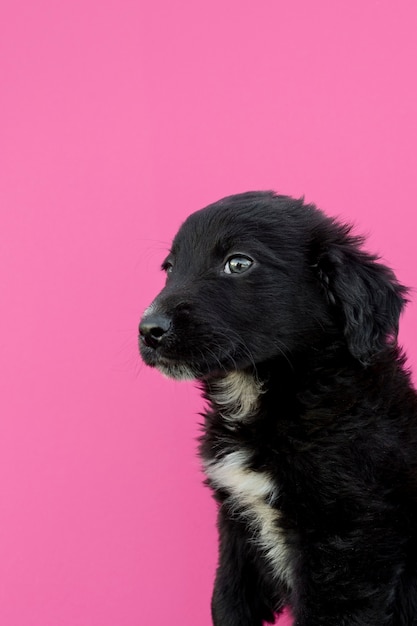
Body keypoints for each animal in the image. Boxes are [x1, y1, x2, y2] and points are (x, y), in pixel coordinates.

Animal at [139, 191, 416, 624]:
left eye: (238, 263)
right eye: (169, 268)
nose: (148, 329)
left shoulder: (349, 544)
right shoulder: (237, 532)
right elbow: (226, 603)